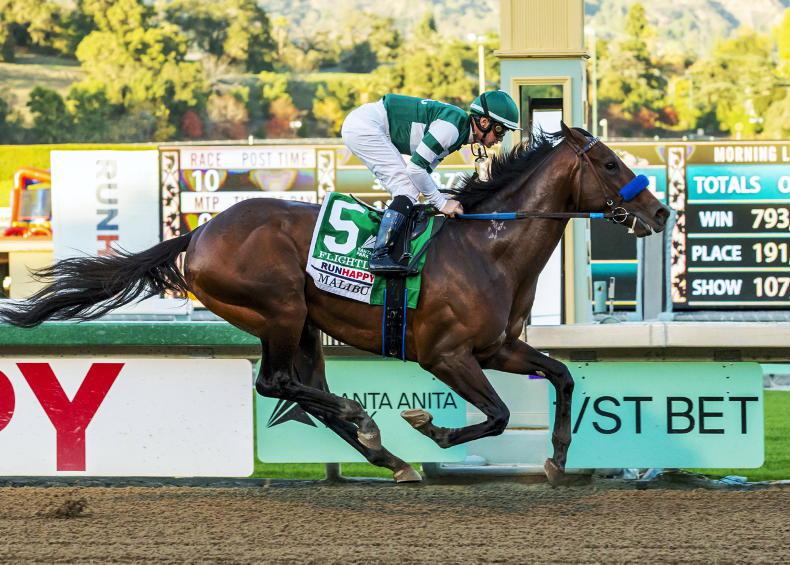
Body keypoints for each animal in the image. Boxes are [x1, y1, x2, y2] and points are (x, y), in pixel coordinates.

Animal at [0, 123, 670, 485]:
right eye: (610, 162)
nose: (660, 212)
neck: (490, 247)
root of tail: (197, 233)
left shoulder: (498, 347)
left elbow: (561, 376)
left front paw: (557, 458)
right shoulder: (447, 355)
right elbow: (500, 414)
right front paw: (432, 428)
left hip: (303, 326)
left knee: (305, 391)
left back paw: (388, 455)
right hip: (279, 312)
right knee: (276, 384)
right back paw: (371, 425)